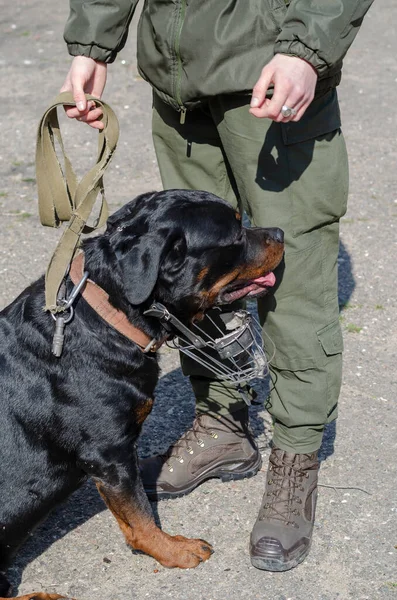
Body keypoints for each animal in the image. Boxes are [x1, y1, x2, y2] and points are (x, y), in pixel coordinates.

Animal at [0, 190, 284, 596]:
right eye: (235, 235)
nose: (280, 232)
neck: (109, 317)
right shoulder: (109, 454)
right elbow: (140, 516)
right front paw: (175, 550)